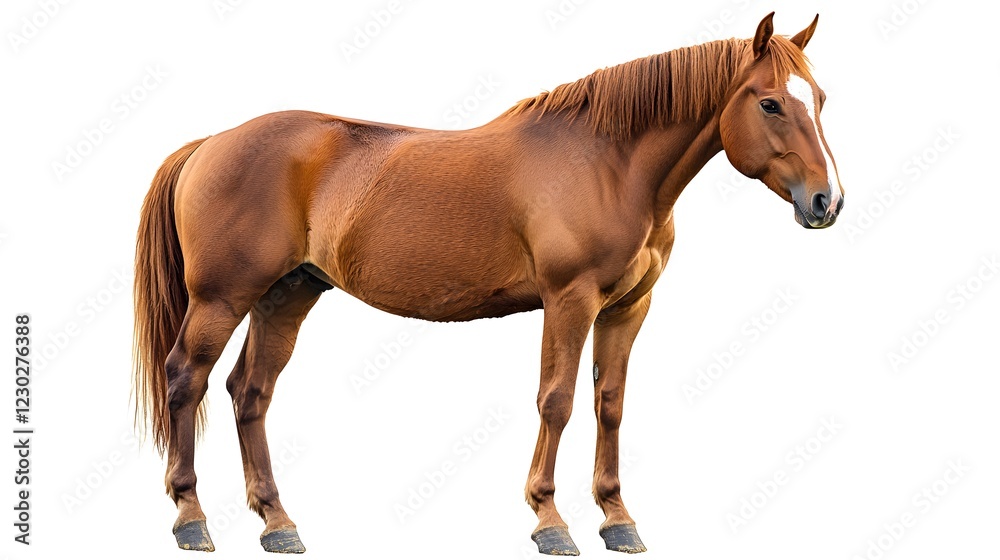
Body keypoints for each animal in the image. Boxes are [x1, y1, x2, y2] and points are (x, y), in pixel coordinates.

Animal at [133, 12, 843, 555]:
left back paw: (278, 523)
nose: (826, 202)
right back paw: (191, 519)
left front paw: (618, 520)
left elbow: (609, 403)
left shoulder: (628, 308)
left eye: (820, 100)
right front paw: (550, 520)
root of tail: (212, 142)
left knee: (249, 392)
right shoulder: (569, 300)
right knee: (186, 380)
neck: (609, 163)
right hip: (221, 299)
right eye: (770, 102)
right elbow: (557, 400)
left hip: (287, 295)